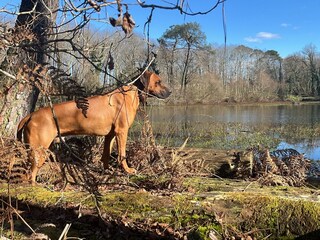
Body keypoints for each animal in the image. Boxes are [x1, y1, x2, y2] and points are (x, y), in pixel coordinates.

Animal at [16, 71, 171, 184]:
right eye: (158, 82)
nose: (170, 92)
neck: (132, 92)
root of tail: (30, 115)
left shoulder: (111, 135)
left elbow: (106, 154)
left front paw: (106, 170)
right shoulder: (122, 132)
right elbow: (122, 155)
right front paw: (127, 170)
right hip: (39, 150)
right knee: (30, 175)